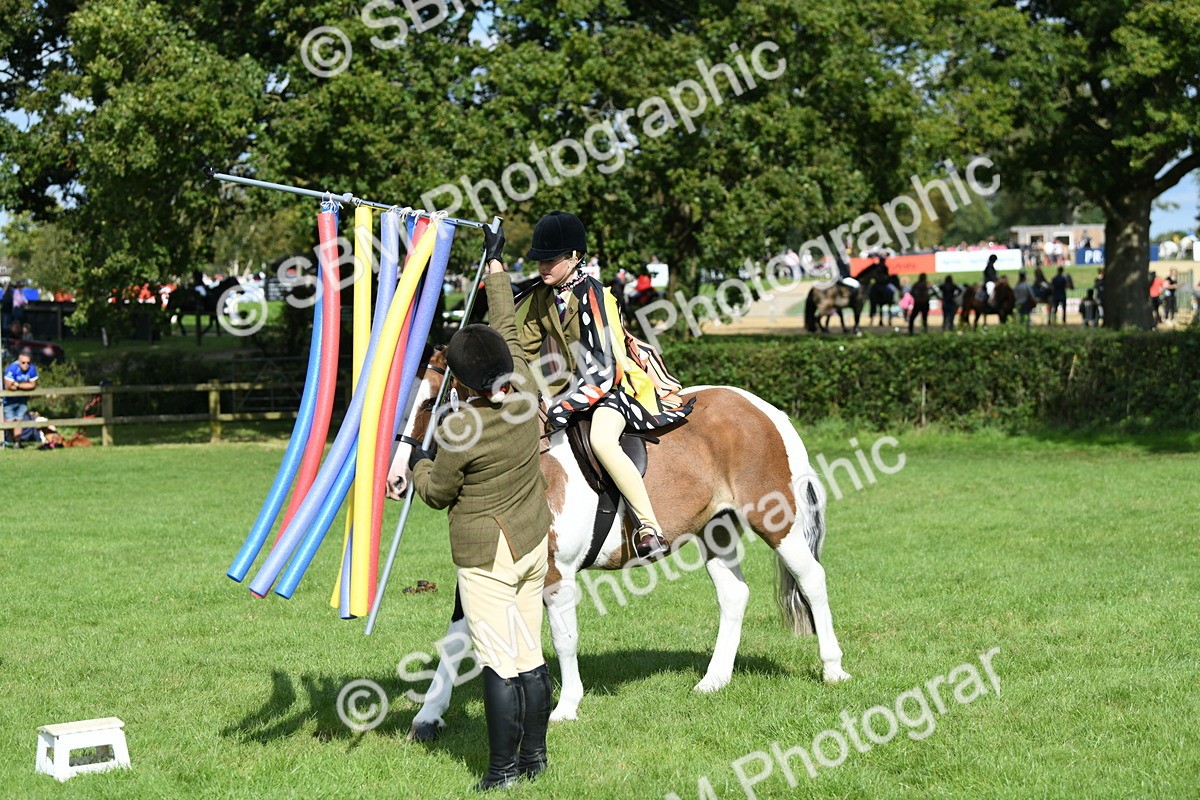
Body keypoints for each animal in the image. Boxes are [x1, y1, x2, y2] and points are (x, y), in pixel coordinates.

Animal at [386, 347, 851, 738]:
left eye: (430, 403)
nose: (396, 481)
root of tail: (762, 408)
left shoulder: (555, 573)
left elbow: (564, 638)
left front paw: (566, 708)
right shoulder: (482, 571)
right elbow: (457, 639)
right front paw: (428, 716)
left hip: (776, 521)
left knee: (812, 579)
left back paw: (833, 670)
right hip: (714, 530)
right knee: (734, 595)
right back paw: (713, 680)